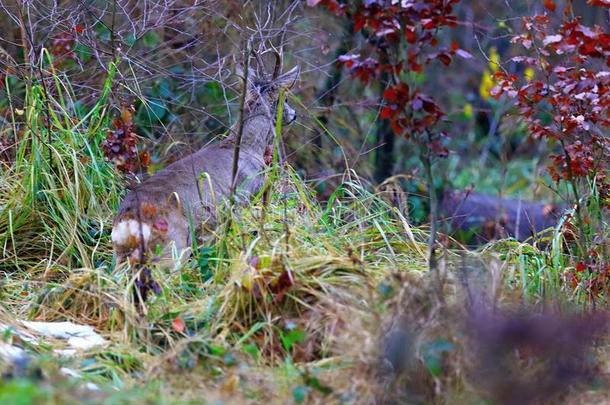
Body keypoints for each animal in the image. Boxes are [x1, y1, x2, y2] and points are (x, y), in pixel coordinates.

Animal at [111, 50, 300, 272]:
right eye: (284, 98)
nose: (294, 114)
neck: (249, 146)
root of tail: (127, 223)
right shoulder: (242, 199)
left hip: (123, 256)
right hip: (172, 246)